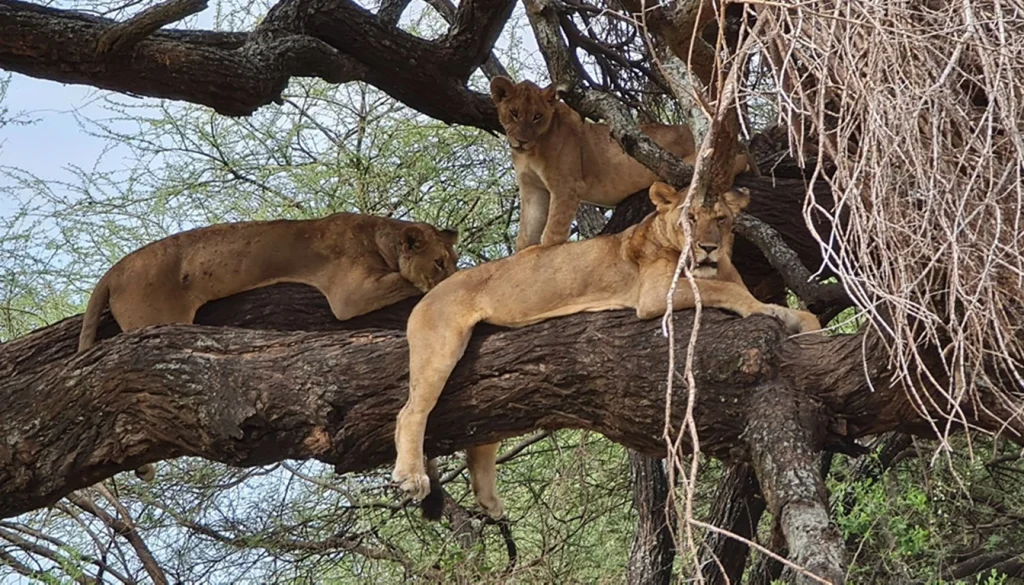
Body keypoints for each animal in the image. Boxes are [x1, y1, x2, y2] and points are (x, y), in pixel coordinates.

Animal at [78, 212, 459, 482]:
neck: (379, 236)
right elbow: (406, 282)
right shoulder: (350, 295)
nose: (451, 273)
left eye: (451, 259)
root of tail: (113, 271)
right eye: (439, 261)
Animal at [392, 182, 819, 520]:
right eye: (689, 219)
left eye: (723, 219)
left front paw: (806, 325)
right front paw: (768, 310)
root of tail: (428, 294)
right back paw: (411, 477)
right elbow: (728, 291)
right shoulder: (655, 294)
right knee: (410, 412)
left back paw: (489, 500)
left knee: (481, 430)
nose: (708, 248)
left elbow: (796, 310)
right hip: (441, 346)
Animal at [490, 76, 760, 251]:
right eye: (514, 113)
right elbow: (526, 234)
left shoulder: (566, 186)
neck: (531, 152)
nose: (522, 140)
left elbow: (551, 234)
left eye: (537, 116)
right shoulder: (532, 188)